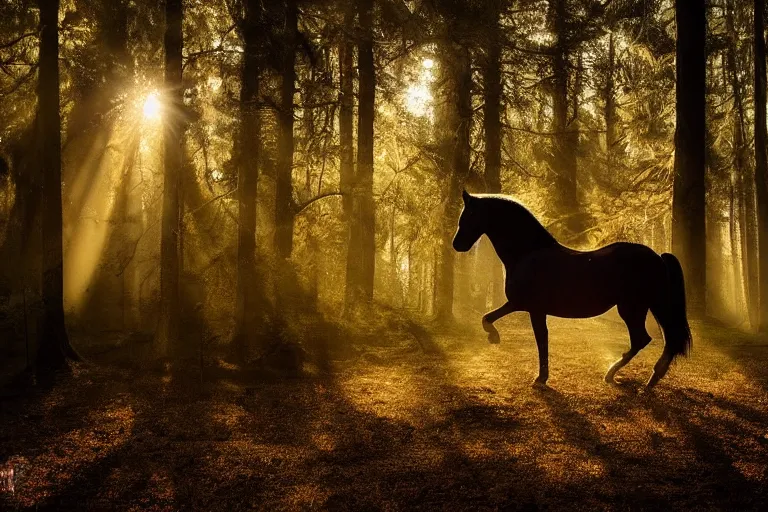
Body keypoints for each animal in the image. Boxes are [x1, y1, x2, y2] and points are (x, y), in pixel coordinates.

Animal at [452, 191, 692, 388]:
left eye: (469, 215)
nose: (457, 245)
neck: (528, 253)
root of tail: (657, 257)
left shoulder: (527, 306)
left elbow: (528, 335)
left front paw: (538, 377)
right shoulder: (528, 307)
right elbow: (496, 320)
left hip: (633, 308)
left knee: (643, 339)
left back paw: (618, 375)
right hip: (647, 306)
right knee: (662, 340)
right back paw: (648, 380)